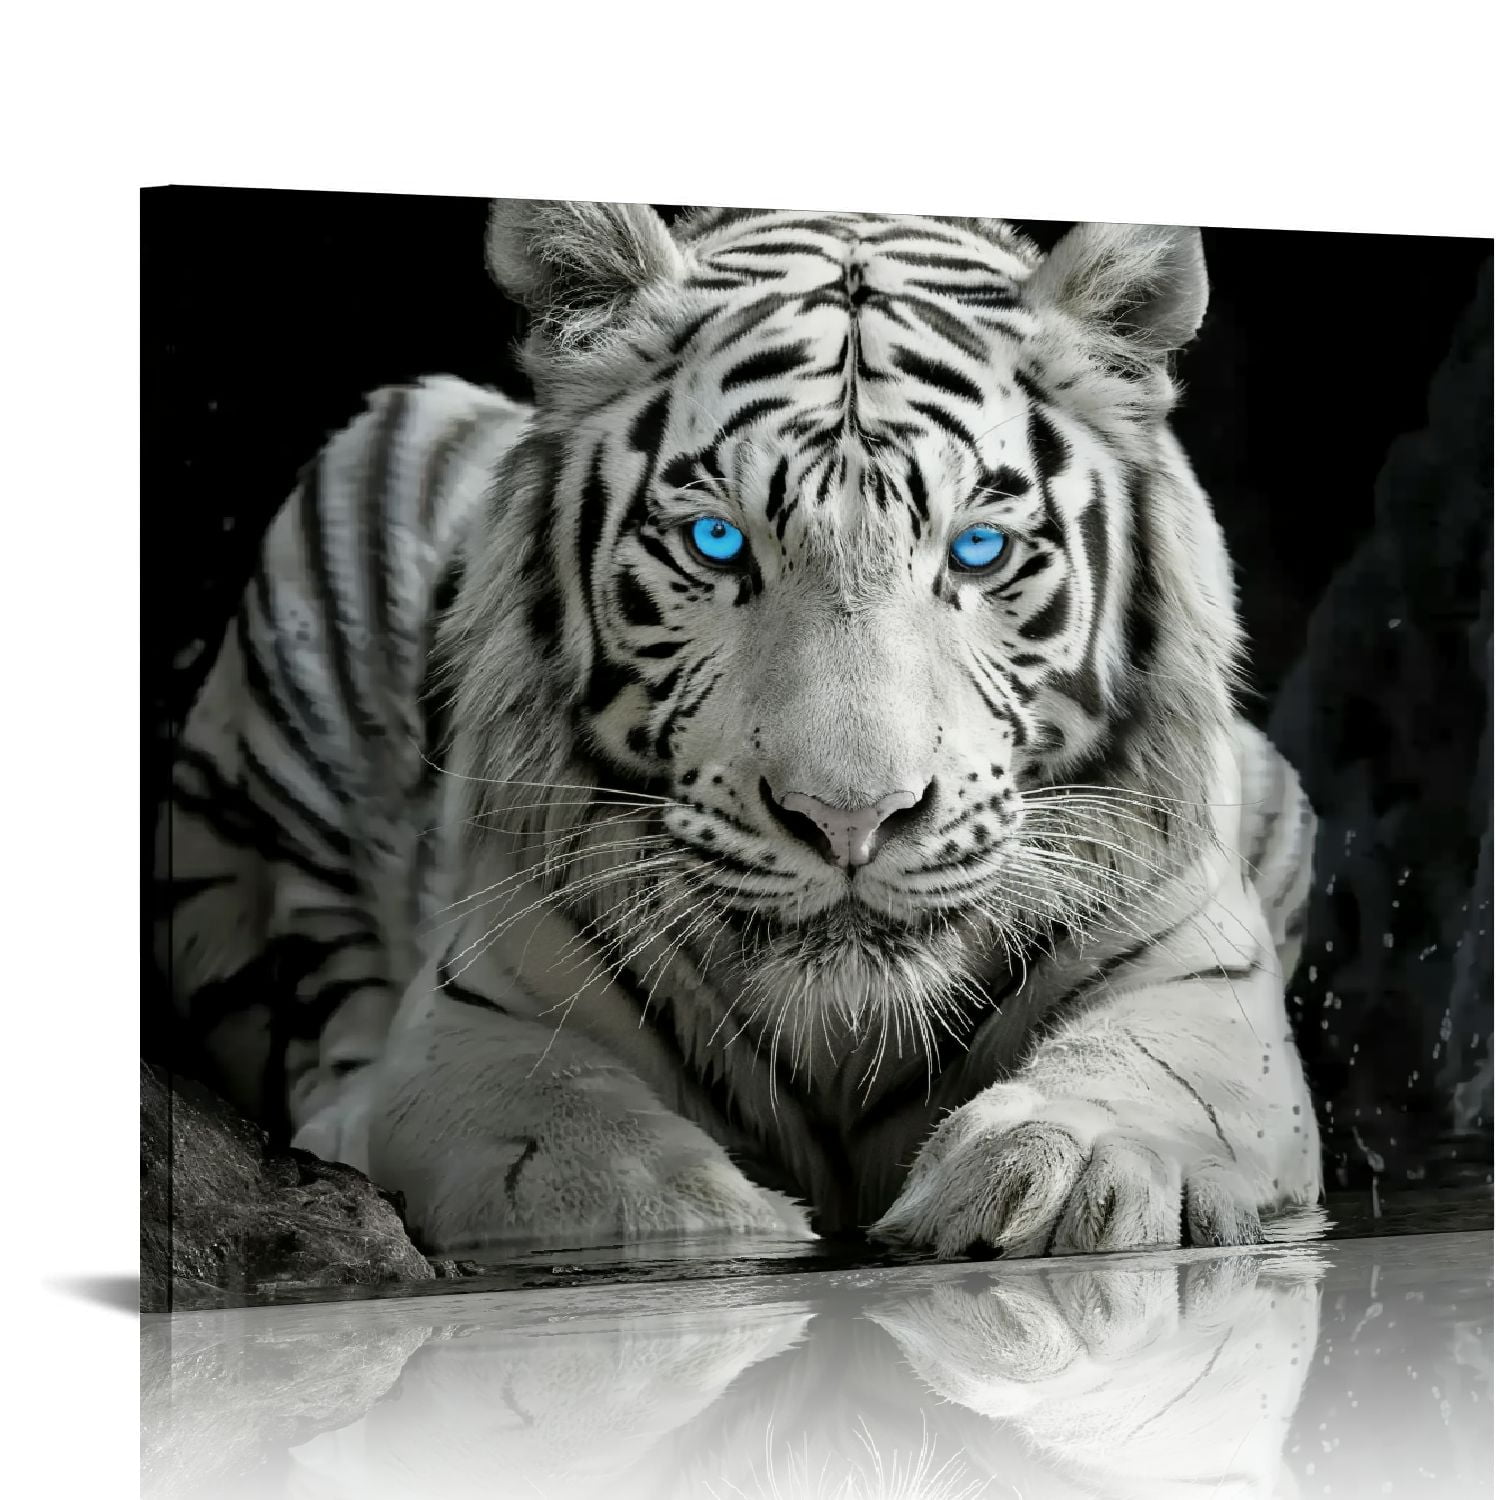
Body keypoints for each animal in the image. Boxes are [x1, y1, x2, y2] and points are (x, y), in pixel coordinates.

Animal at [158, 200, 1326, 1259]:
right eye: (718, 544)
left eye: (979, 549)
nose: (851, 819)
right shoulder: (476, 1025)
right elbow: (570, 1158)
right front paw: (719, 1227)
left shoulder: (1203, 983)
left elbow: (1147, 1072)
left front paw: (1057, 1170)